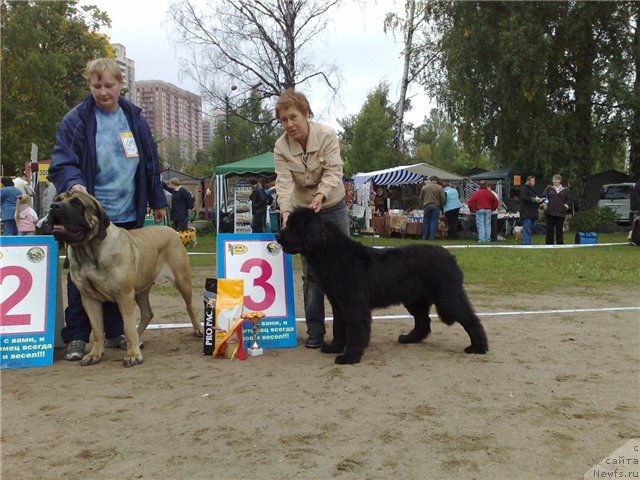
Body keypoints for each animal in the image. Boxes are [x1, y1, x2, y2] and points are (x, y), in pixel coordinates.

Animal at [48, 191, 201, 368]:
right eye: (57, 199)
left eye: (77, 202)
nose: (54, 206)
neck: (88, 251)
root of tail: (172, 231)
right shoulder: (89, 298)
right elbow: (98, 330)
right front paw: (94, 354)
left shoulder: (125, 295)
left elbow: (127, 327)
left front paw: (133, 355)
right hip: (141, 289)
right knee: (147, 313)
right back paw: (138, 336)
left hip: (181, 280)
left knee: (190, 305)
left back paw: (198, 329)